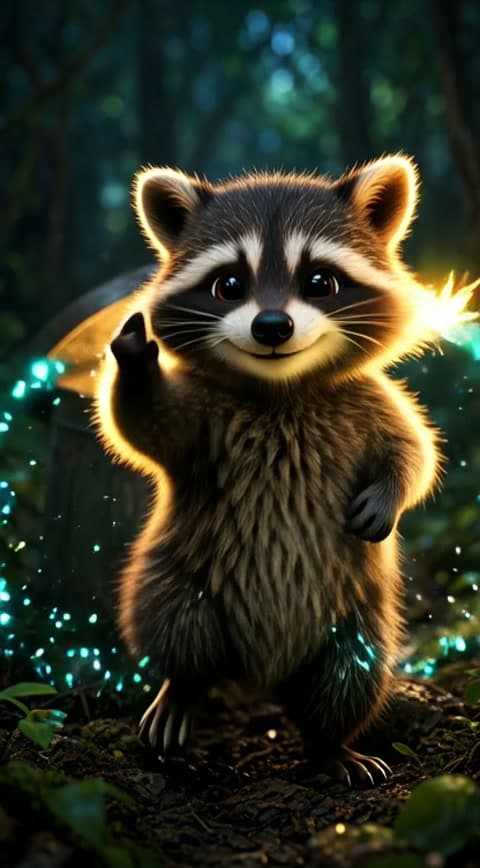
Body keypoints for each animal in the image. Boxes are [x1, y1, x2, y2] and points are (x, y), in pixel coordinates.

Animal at [95, 155, 442, 786]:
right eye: (229, 284)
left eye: (320, 282)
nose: (273, 326)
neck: (280, 389)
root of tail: (260, 673)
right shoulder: (206, 418)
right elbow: (145, 425)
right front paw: (133, 359)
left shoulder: (367, 399)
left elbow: (413, 449)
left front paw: (390, 493)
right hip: (176, 571)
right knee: (177, 625)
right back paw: (181, 687)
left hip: (357, 615)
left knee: (349, 674)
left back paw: (331, 744)